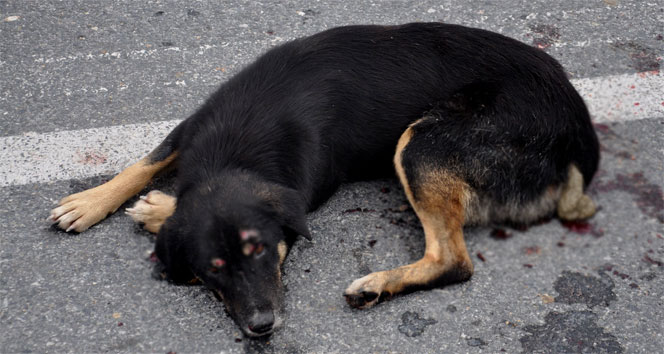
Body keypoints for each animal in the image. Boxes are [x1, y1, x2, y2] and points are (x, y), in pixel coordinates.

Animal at [46, 22, 596, 338]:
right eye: (212, 269)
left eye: (261, 250)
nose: (262, 328)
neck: (241, 142)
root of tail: (579, 131)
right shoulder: (192, 126)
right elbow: (143, 162)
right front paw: (90, 202)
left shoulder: (306, 189)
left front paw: (158, 209)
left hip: (421, 142)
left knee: (454, 261)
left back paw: (377, 284)